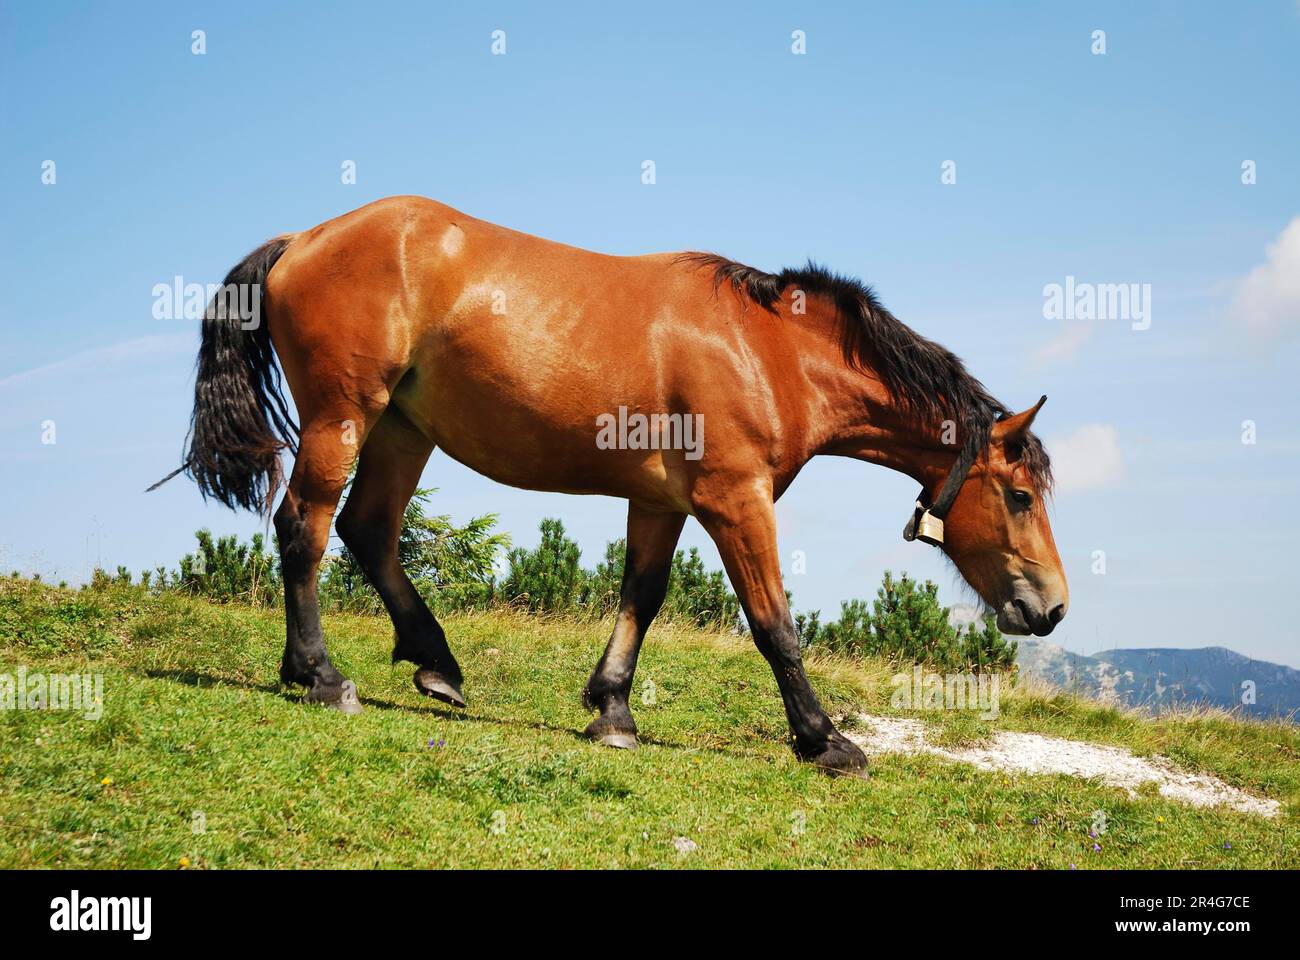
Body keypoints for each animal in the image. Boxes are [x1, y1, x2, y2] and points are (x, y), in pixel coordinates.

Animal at [152, 195, 1066, 770]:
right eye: (1020, 497)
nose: (1052, 607)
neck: (769, 350)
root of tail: (303, 238)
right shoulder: (735, 502)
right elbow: (775, 625)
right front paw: (824, 740)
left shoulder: (660, 502)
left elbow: (642, 598)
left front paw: (613, 711)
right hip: (343, 417)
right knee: (303, 528)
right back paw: (320, 674)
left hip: (404, 431)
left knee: (365, 531)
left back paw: (433, 663)